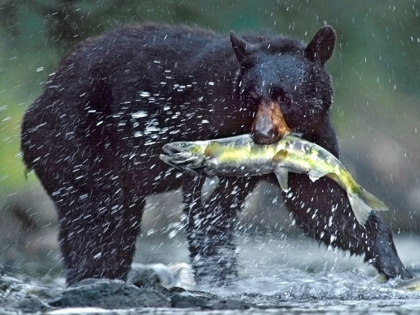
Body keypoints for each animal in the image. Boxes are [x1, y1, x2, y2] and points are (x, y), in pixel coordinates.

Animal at [21, 23, 412, 286]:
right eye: (252, 97)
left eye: (284, 96)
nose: (262, 136)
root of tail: (38, 102)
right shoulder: (208, 122)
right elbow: (208, 212)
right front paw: (221, 278)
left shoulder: (314, 137)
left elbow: (323, 204)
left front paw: (394, 265)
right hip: (76, 141)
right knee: (95, 218)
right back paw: (91, 275)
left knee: (118, 225)